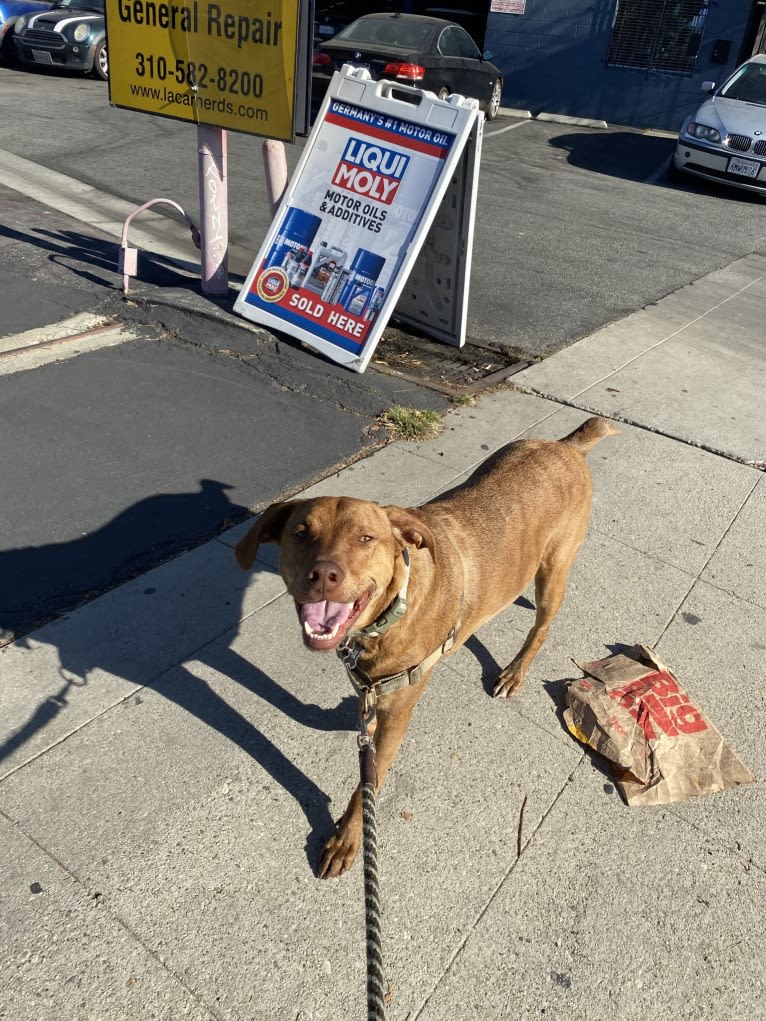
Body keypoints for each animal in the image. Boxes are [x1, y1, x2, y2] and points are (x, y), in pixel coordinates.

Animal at [233, 414, 616, 878]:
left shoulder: (398, 712)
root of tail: (566, 446)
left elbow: (368, 784)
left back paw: (514, 671)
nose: (323, 575)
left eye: (366, 538)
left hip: (554, 571)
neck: (386, 617)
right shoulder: (370, 688)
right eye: (300, 533)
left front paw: (347, 838)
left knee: (541, 627)